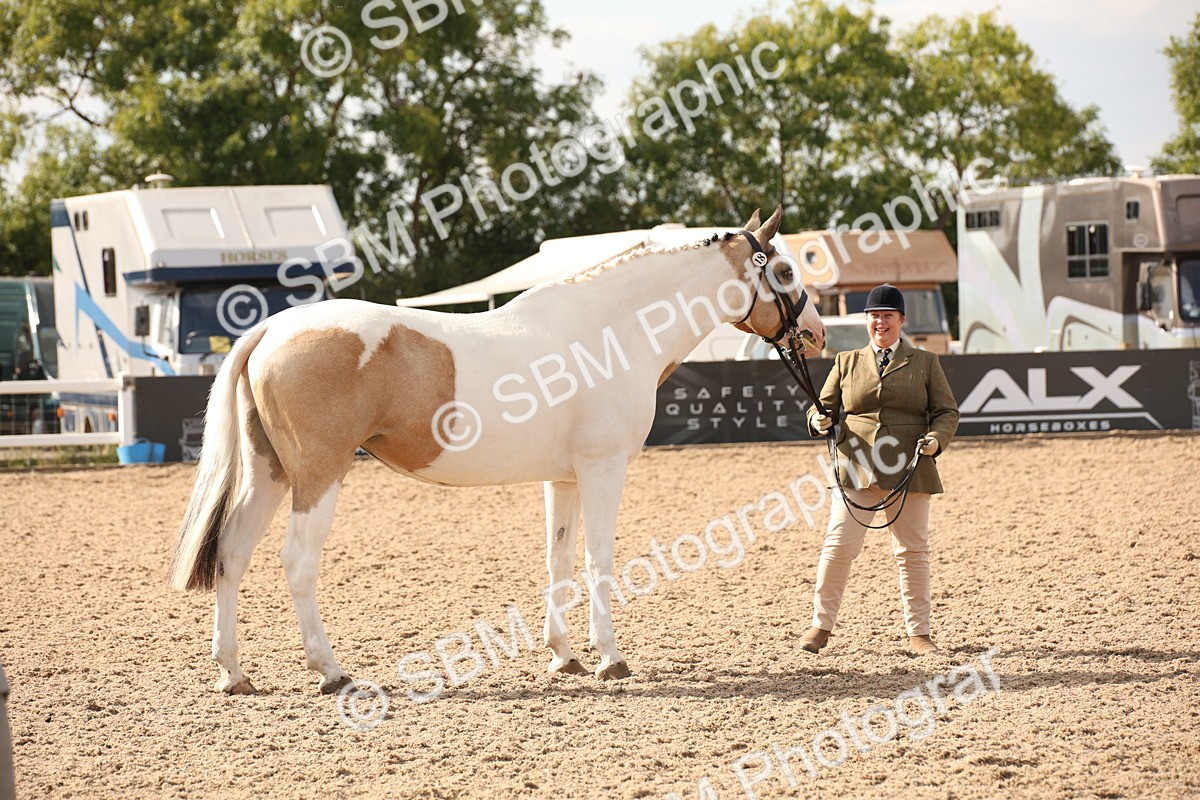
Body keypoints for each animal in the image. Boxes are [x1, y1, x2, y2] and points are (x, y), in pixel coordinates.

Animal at [168, 206, 825, 695]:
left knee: (232, 555)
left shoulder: (564, 479)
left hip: (269, 473)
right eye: (784, 270)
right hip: (318, 476)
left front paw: (563, 657)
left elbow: (559, 561)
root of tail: (272, 329)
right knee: (297, 563)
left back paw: (234, 673)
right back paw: (330, 672)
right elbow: (599, 560)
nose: (816, 333)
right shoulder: (603, 469)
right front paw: (610, 659)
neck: (615, 329)